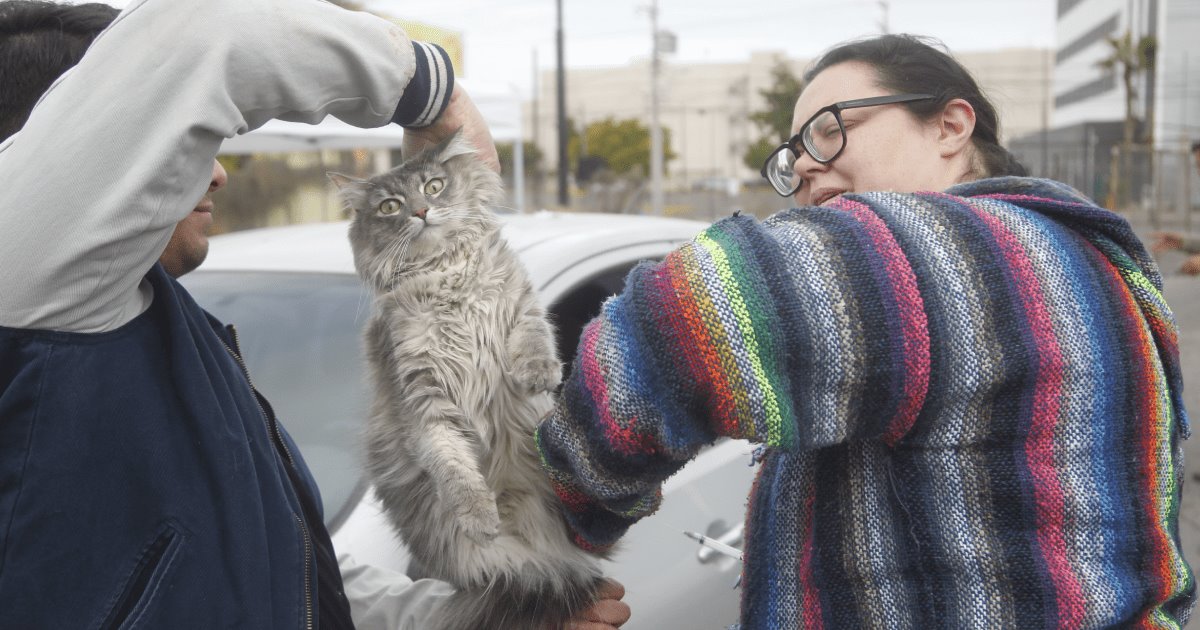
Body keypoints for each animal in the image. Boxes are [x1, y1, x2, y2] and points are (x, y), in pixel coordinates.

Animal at [328, 130, 604, 624]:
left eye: (434, 186)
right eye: (390, 206)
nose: (421, 211)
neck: (445, 274)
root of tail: (543, 561)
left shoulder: (521, 306)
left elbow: (534, 338)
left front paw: (537, 373)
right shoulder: (423, 394)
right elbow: (452, 464)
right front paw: (479, 516)